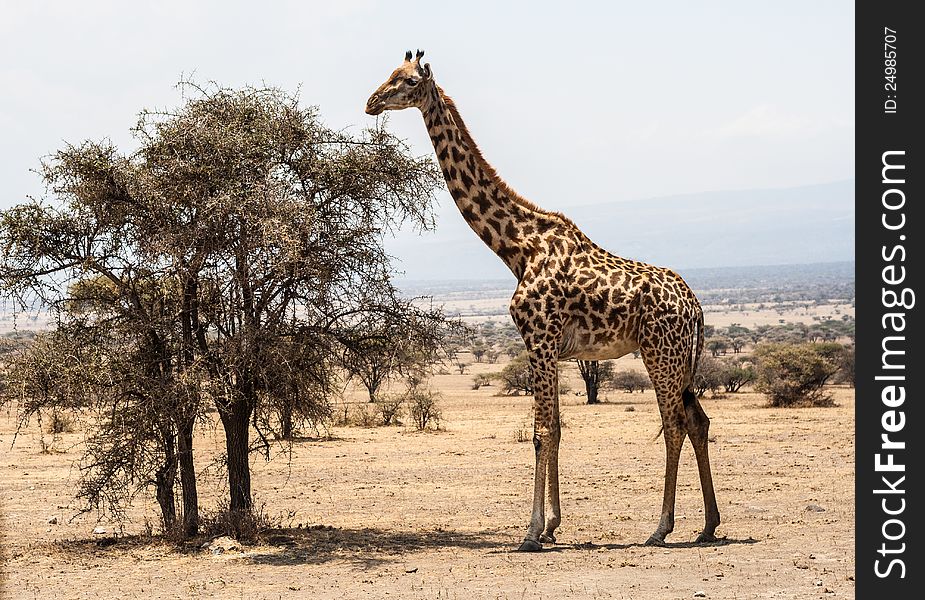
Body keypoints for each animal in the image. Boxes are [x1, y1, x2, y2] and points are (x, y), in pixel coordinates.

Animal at [364, 49, 720, 552]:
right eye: (389, 74)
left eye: (409, 81)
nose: (371, 102)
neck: (517, 245)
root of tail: (696, 308)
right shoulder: (549, 347)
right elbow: (556, 428)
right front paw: (552, 525)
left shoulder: (539, 339)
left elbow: (541, 432)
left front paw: (531, 531)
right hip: (679, 359)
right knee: (698, 421)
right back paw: (709, 525)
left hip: (660, 352)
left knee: (674, 425)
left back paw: (661, 527)